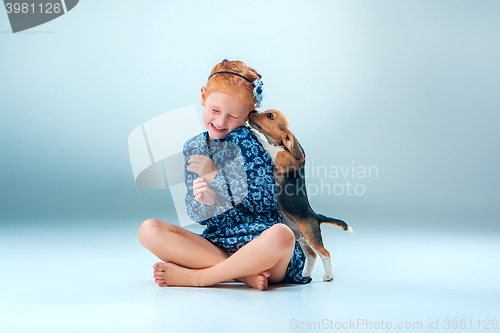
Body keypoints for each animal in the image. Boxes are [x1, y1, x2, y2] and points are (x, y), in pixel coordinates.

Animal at [249, 109, 352, 280]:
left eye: (270, 116)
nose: (253, 111)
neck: (282, 145)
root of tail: (316, 216)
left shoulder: (278, 156)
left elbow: (266, 144)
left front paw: (254, 132)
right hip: (301, 238)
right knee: (312, 256)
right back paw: (305, 275)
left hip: (311, 237)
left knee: (325, 253)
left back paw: (329, 275)